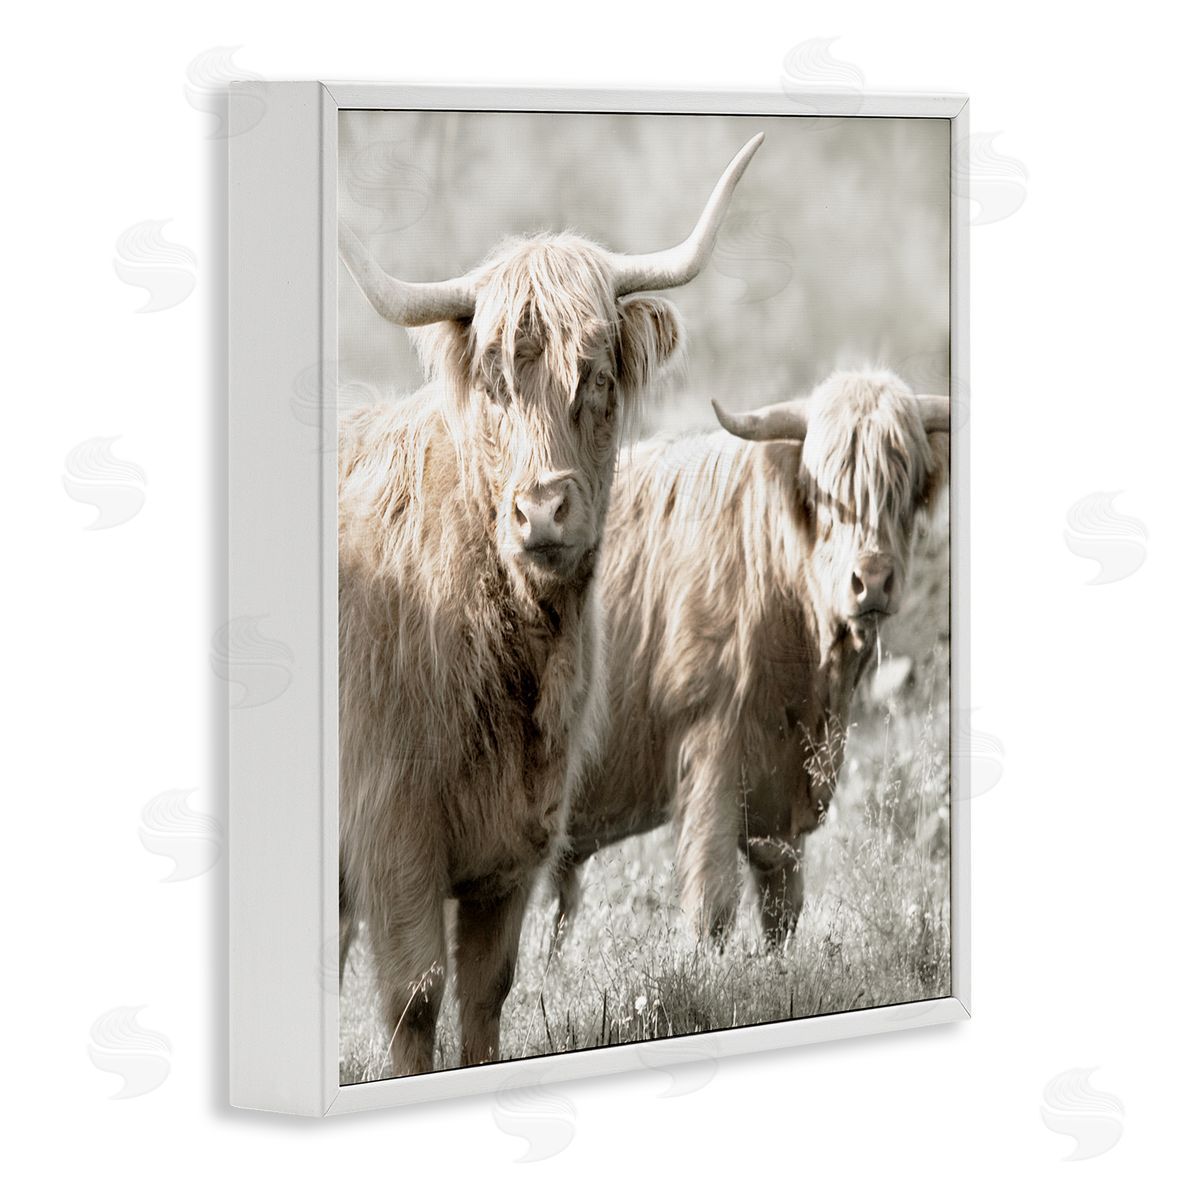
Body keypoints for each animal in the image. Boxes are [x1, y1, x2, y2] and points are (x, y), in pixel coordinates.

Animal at [337, 133, 764, 1076]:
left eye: (596, 378)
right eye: (497, 382)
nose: (541, 511)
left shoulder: (511, 853)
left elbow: (485, 999)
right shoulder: (392, 835)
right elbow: (415, 1002)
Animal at [552, 369, 950, 951]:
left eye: (905, 489)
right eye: (826, 495)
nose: (872, 580)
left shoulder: (783, 799)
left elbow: (782, 909)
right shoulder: (711, 753)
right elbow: (712, 905)